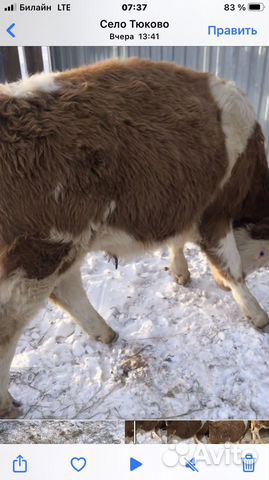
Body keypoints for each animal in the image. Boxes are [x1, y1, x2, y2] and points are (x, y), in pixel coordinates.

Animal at [0, 58, 268, 418]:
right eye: (264, 254)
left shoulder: (186, 205)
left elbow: (178, 242)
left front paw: (181, 273)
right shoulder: (216, 214)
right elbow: (233, 268)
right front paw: (257, 315)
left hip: (64, 249)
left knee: (67, 290)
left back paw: (106, 333)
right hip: (39, 256)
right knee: (11, 323)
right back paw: (7, 404)